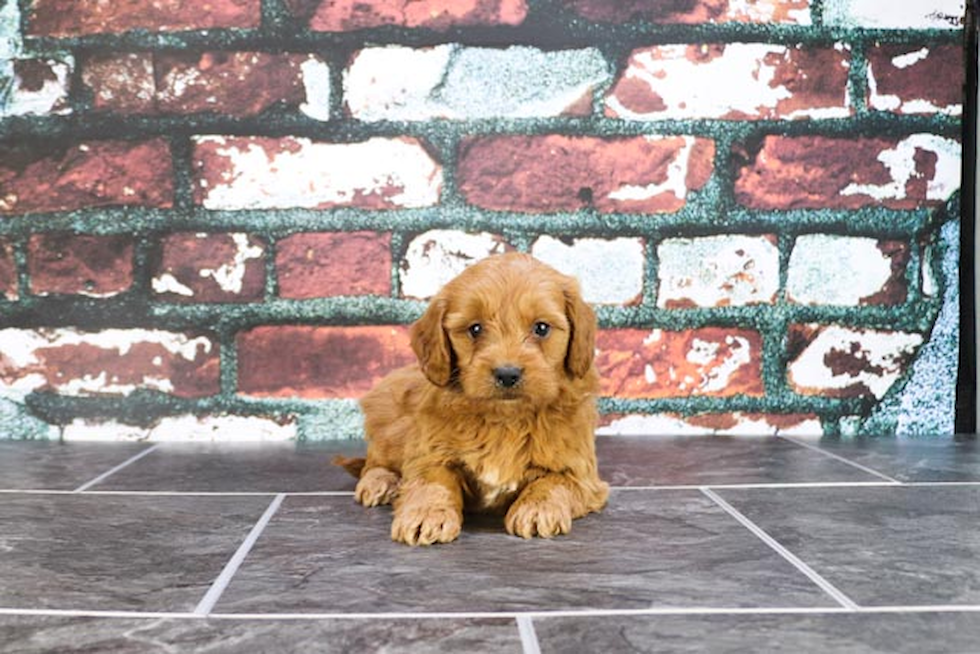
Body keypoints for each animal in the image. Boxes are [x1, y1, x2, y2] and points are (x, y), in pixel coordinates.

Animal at [336, 254, 604, 544]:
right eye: (475, 329)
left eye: (541, 328)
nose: (507, 374)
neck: (506, 420)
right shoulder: (429, 451)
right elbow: (432, 481)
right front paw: (426, 514)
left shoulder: (581, 473)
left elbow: (554, 482)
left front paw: (537, 509)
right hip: (390, 421)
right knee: (372, 462)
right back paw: (380, 481)